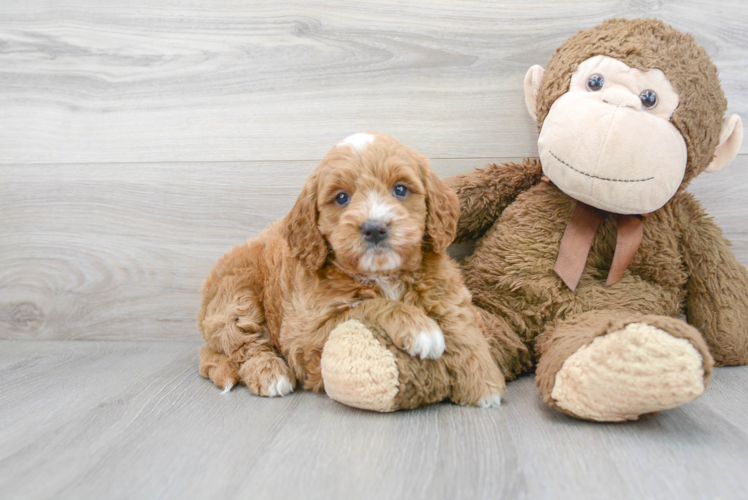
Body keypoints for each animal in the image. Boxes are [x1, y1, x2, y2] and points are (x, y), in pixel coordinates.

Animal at [196, 131, 506, 408]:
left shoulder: (445, 290)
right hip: (237, 295)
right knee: (243, 345)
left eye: (400, 189)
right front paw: (419, 327)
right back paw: (270, 373)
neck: (384, 274)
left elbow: (462, 327)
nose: (375, 228)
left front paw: (484, 382)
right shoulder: (306, 337)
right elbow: (367, 306)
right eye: (342, 198)